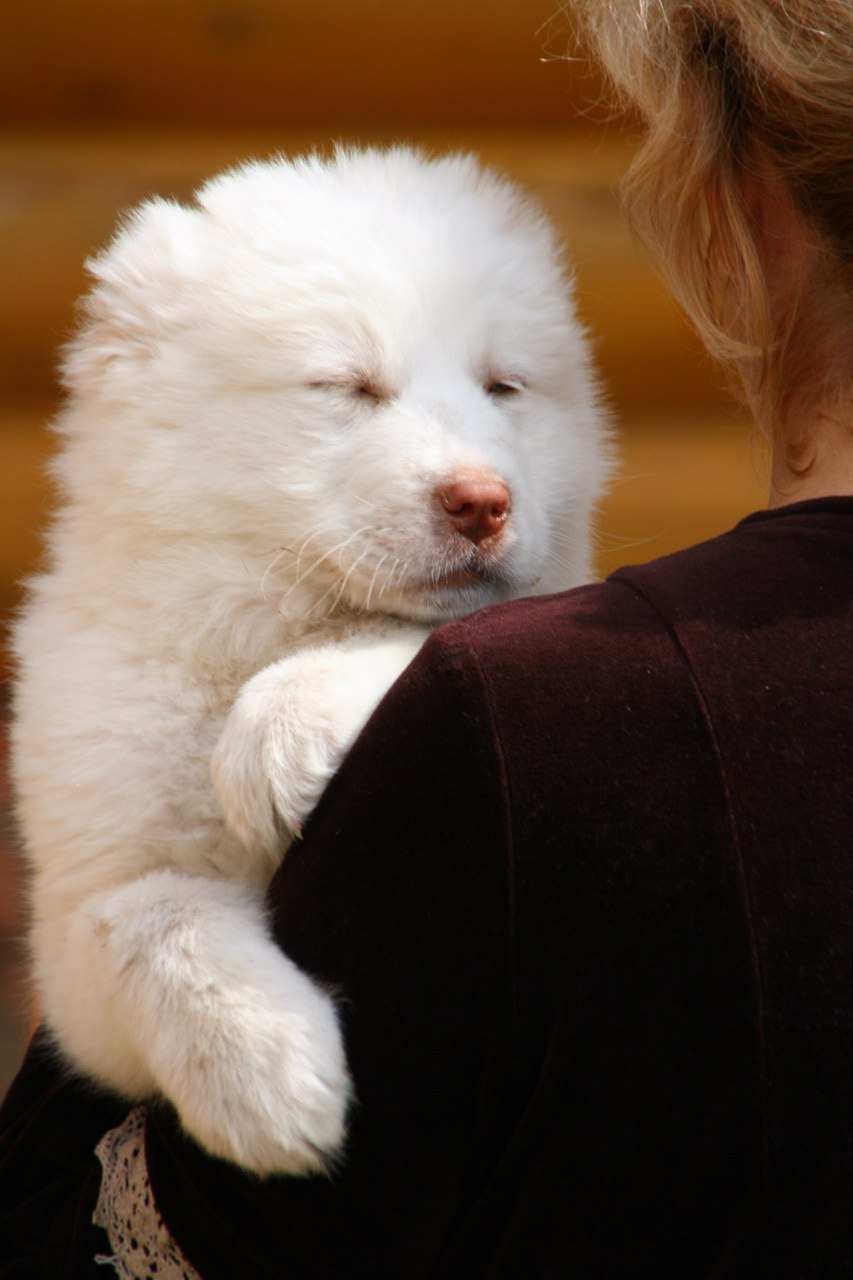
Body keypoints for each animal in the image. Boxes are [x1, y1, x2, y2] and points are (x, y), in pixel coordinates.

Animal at [13, 145, 612, 1172]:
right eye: (345, 386)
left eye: (504, 387)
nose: (482, 503)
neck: (254, 628)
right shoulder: (81, 921)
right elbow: (151, 917)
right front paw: (267, 1072)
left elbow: (411, 630)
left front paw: (279, 740)